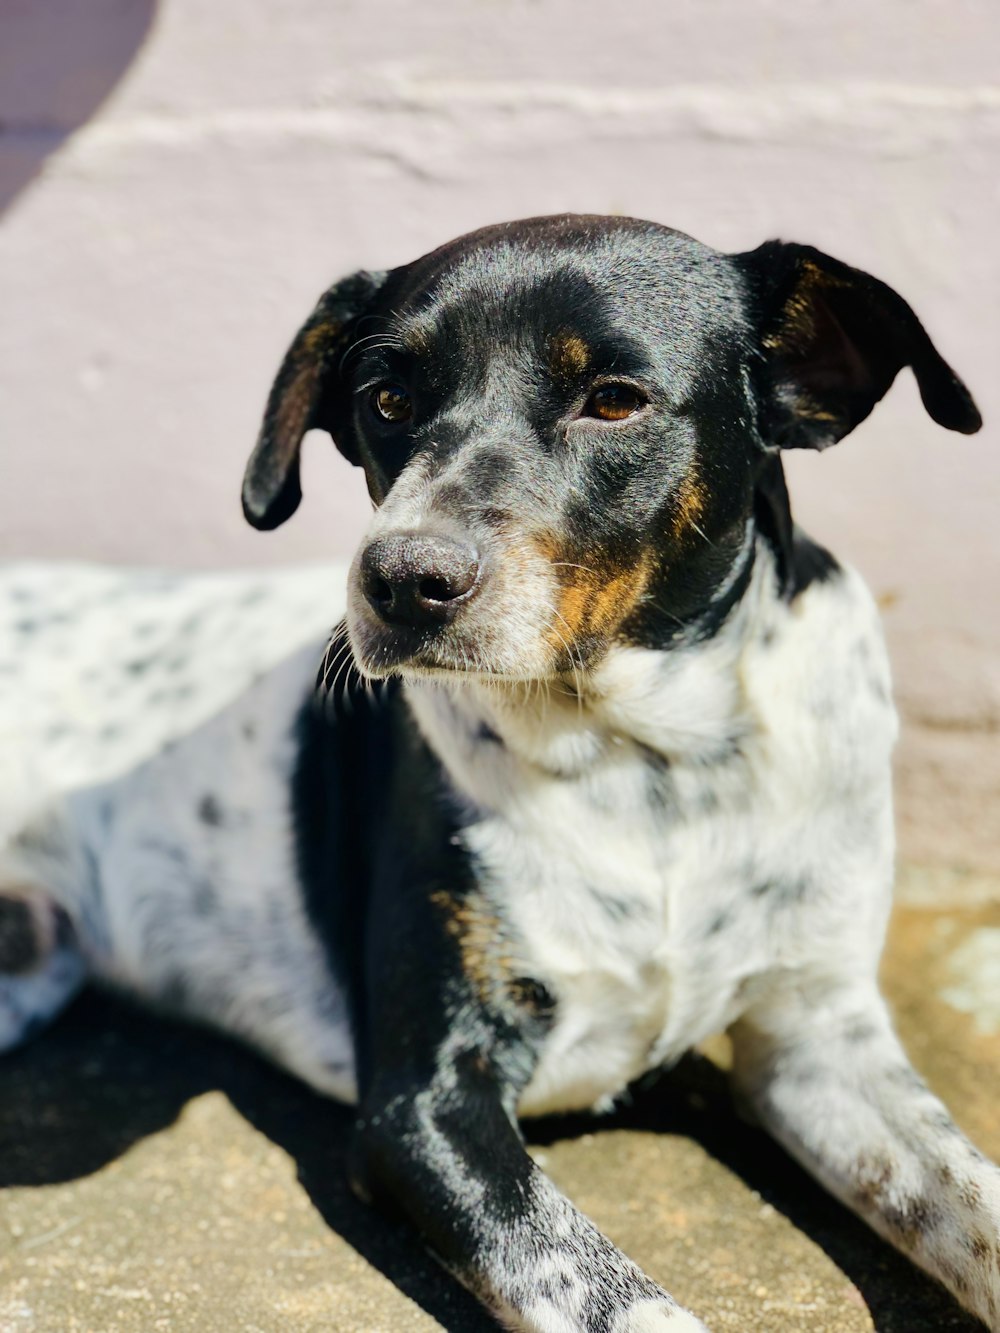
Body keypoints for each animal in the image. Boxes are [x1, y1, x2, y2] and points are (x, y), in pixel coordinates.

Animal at [0, 213, 997, 1327]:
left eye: (615, 398)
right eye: (384, 398)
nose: (402, 580)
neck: (651, 768)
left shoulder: (818, 1039)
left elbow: (974, 1199)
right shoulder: (426, 1102)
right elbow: (621, 1298)